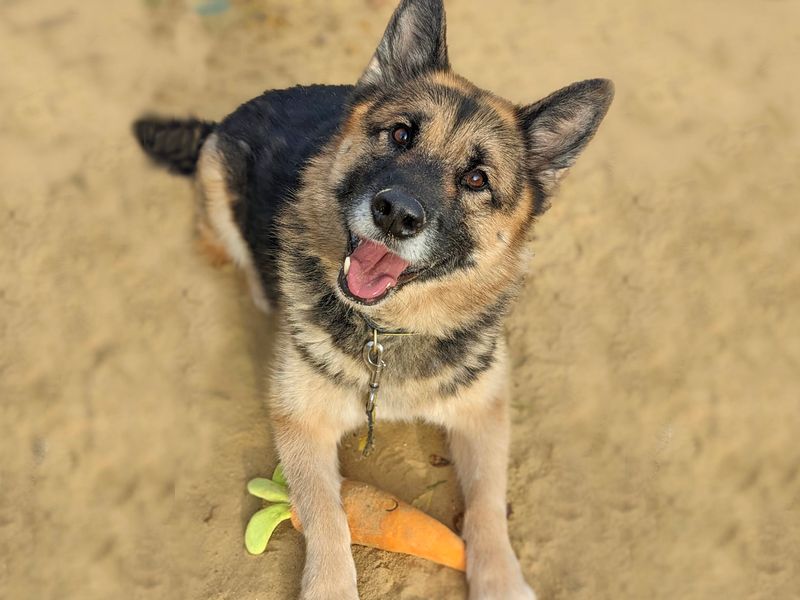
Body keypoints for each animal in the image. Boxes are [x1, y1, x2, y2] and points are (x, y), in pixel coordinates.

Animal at [133, 0, 612, 596]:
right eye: (401, 135)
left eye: (477, 179)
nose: (396, 214)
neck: (388, 330)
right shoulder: (301, 422)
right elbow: (326, 513)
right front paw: (330, 585)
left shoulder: (485, 413)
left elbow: (487, 505)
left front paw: (500, 579)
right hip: (219, 198)